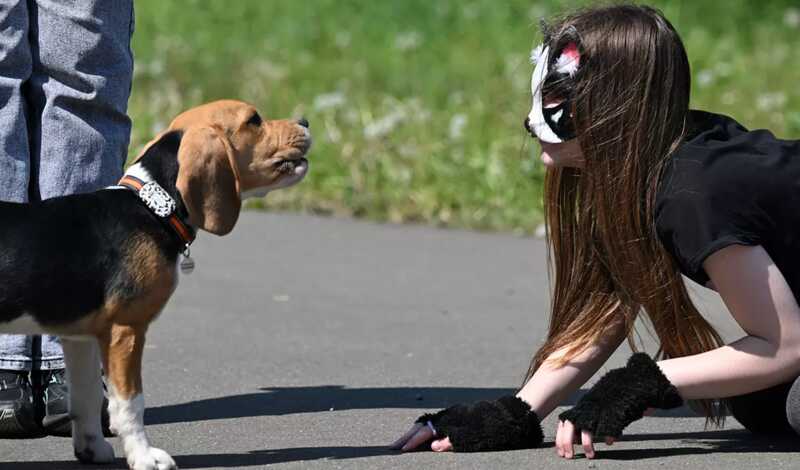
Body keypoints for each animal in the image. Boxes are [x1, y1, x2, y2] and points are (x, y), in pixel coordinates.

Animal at [0, 100, 310, 470]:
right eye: (254, 120)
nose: (305, 122)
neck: (152, 205)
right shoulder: (125, 330)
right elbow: (130, 404)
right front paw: (144, 456)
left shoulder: (81, 338)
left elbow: (86, 397)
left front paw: (92, 449)